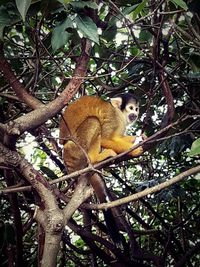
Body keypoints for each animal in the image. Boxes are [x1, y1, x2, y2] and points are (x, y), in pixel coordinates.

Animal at [59, 93, 144, 244]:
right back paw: (96, 159)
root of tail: (66, 160)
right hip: (76, 149)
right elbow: (105, 138)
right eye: (131, 108)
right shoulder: (113, 118)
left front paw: (136, 138)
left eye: (137, 109)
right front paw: (133, 150)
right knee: (94, 121)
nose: (135, 114)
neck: (120, 114)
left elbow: (117, 137)